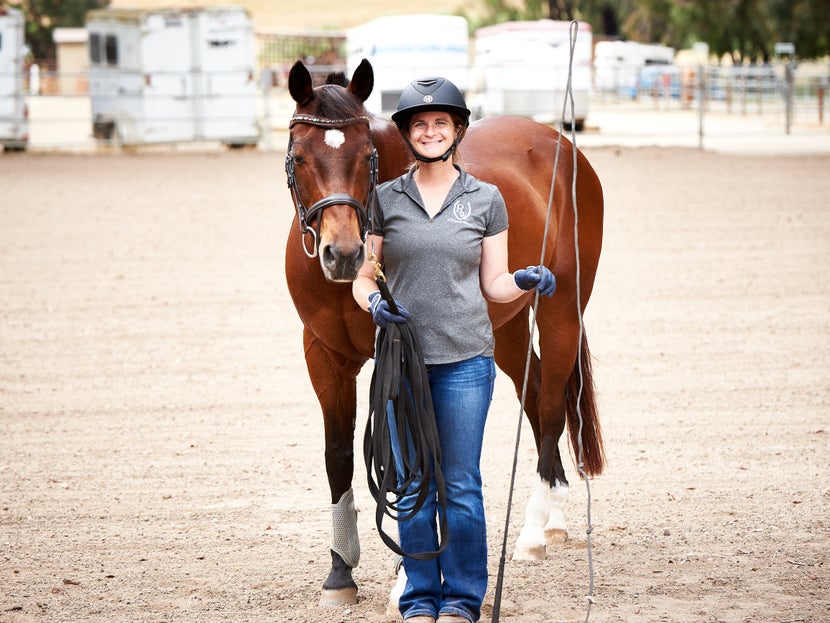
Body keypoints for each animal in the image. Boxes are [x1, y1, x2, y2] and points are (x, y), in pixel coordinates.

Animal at [284, 59, 604, 608]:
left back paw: (532, 534)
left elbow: (412, 456)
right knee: (538, 396)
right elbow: (337, 456)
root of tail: (561, 144)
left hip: (562, 311)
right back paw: (555, 517)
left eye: (367, 155)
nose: (344, 255)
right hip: (508, 326)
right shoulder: (323, 353)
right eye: (299, 156)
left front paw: (404, 578)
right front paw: (340, 572)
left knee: (551, 405)